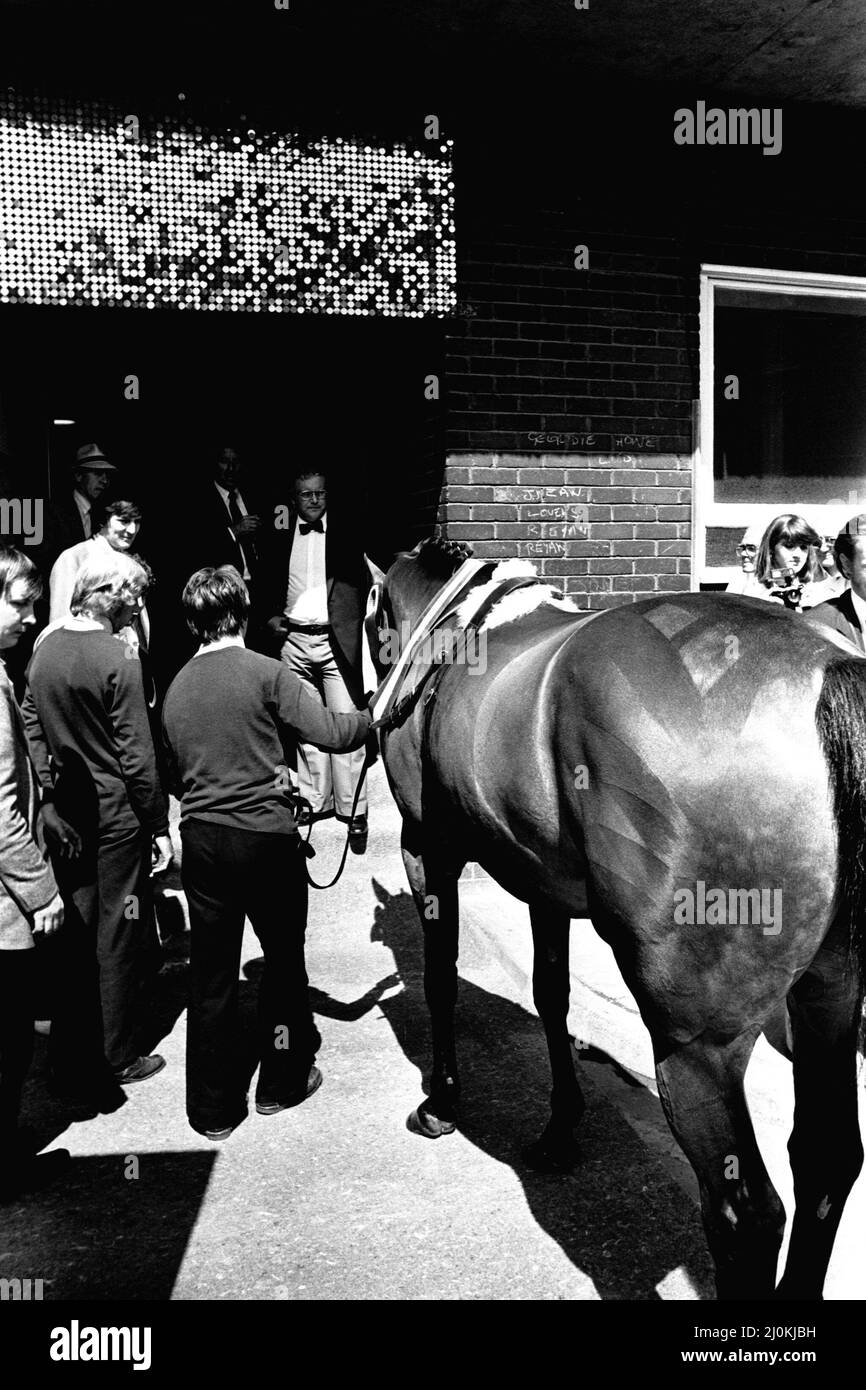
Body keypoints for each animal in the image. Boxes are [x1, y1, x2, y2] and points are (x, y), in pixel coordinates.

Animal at [366, 533, 866, 1301]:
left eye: (370, 620)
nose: (371, 705)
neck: (453, 636)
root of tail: (825, 671)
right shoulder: (541, 884)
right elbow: (551, 994)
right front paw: (559, 1127)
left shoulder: (427, 849)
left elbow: (442, 978)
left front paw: (443, 1104)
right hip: (828, 1002)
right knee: (826, 1161)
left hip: (699, 1047)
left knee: (746, 1213)